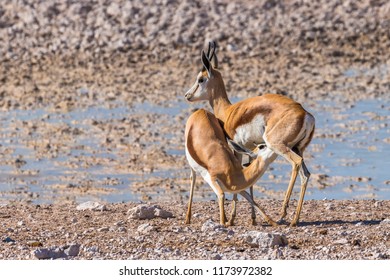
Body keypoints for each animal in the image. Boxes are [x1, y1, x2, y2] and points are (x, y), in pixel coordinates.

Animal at [184, 42, 316, 226]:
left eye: (200, 79)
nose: (187, 95)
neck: (228, 112)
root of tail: (305, 114)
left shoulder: (237, 147)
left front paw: (232, 218)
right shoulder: (250, 148)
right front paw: (253, 218)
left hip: (279, 146)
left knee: (296, 164)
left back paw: (283, 212)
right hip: (298, 148)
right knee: (306, 174)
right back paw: (295, 219)